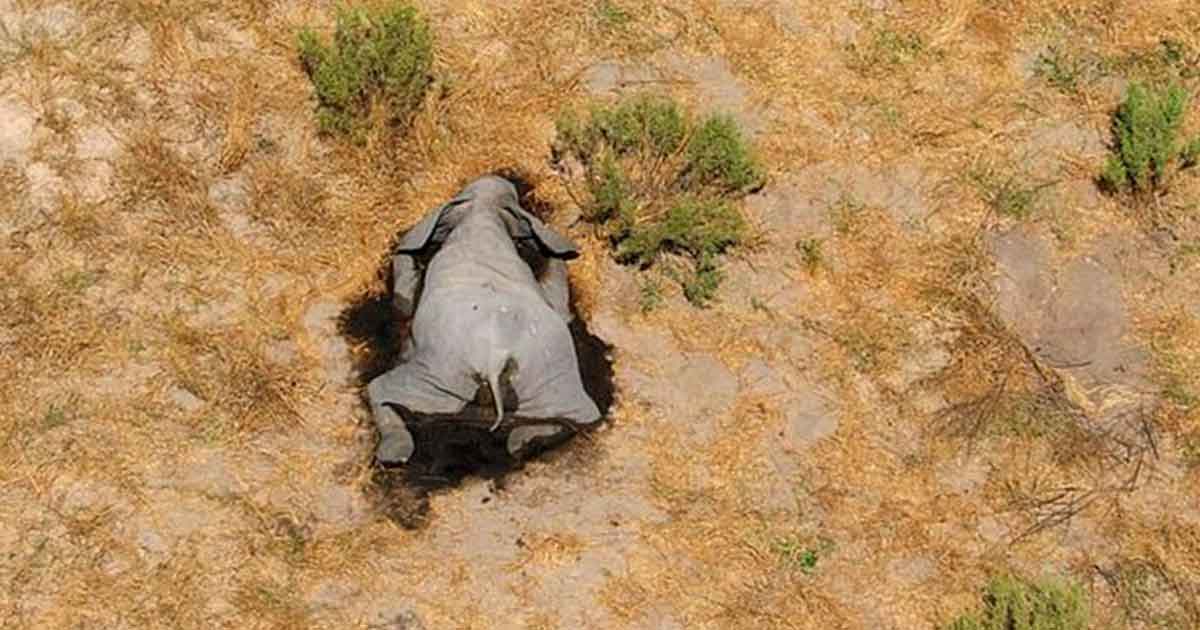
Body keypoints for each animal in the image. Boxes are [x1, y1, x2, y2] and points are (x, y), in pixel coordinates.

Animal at [367, 175, 602, 466]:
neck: (482, 213)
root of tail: (496, 361)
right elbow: (558, 305)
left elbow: (405, 298)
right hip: (552, 378)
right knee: (582, 416)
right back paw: (522, 443)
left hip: (439, 376)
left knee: (380, 388)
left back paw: (394, 453)